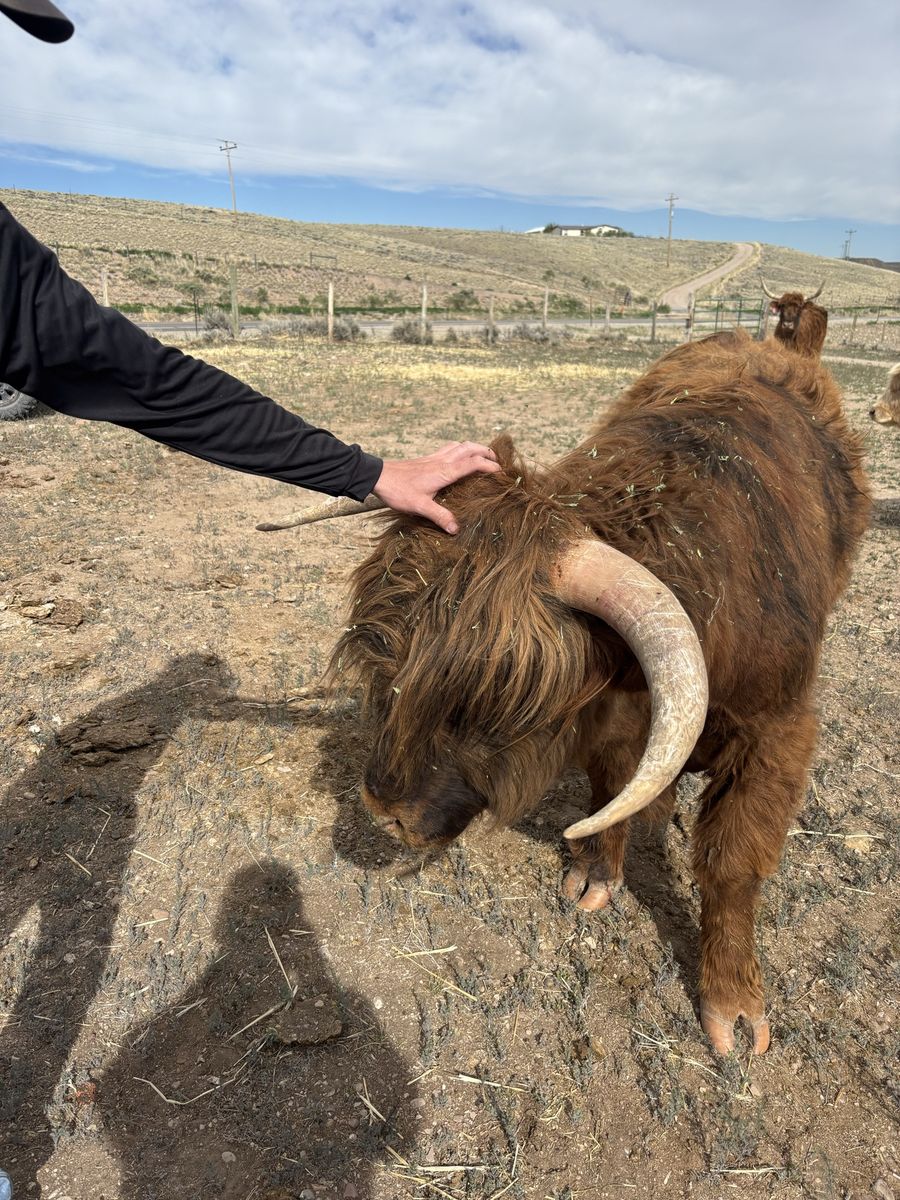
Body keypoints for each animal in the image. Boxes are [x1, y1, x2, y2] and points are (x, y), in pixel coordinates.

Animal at [266, 330, 870, 1056]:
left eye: (491, 704)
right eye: (381, 663)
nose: (383, 810)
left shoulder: (775, 733)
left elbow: (731, 862)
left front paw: (733, 1003)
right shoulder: (615, 719)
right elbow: (611, 789)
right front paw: (595, 872)